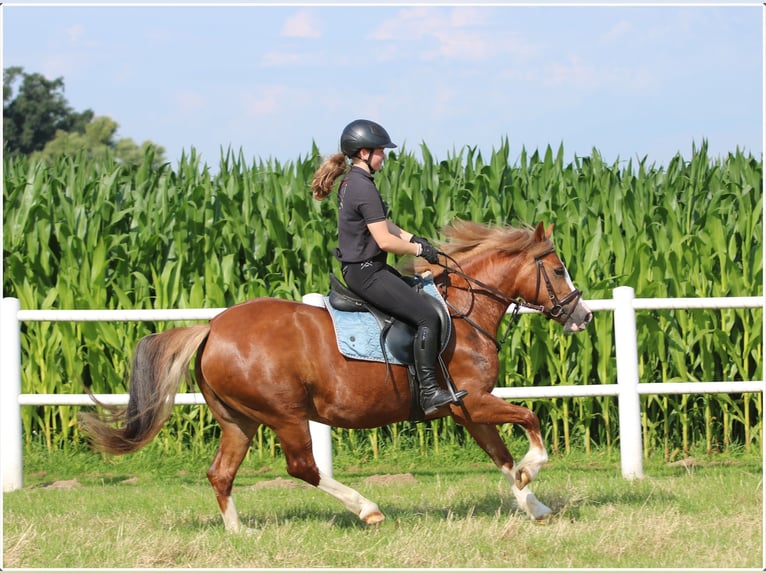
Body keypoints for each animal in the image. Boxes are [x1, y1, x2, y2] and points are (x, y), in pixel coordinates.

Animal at [81, 218, 592, 532]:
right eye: (558, 270)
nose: (583, 317)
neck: (464, 314)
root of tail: (212, 327)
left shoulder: (468, 411)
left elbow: (500, 456)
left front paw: (534, 505)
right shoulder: (472, 401)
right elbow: (530, 420)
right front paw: (531, 471)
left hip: (238, 421)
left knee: (220, 473)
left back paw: (240, 533)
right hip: (285, 415)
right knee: (302, 467)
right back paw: (367, 510)